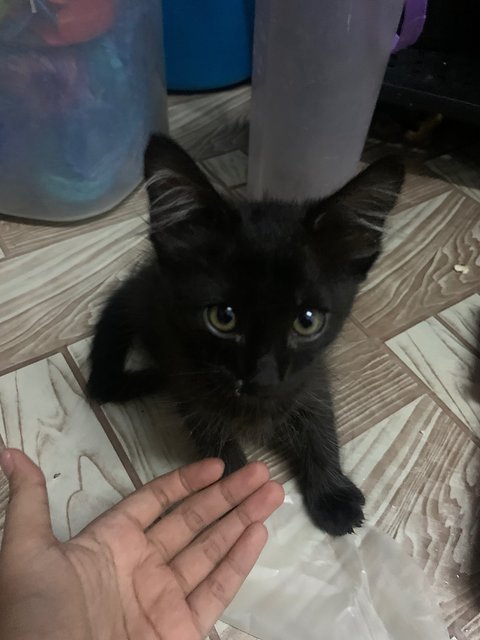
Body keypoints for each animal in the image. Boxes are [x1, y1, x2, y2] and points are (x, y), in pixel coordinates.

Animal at [88, 138, 404, 536]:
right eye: (223, 318)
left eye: (307, 321)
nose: (263, 377)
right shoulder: (193, 391)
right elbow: (219, 449)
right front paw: (234, 501)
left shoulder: (310, 375)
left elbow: (320, 424)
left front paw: (332, 494)